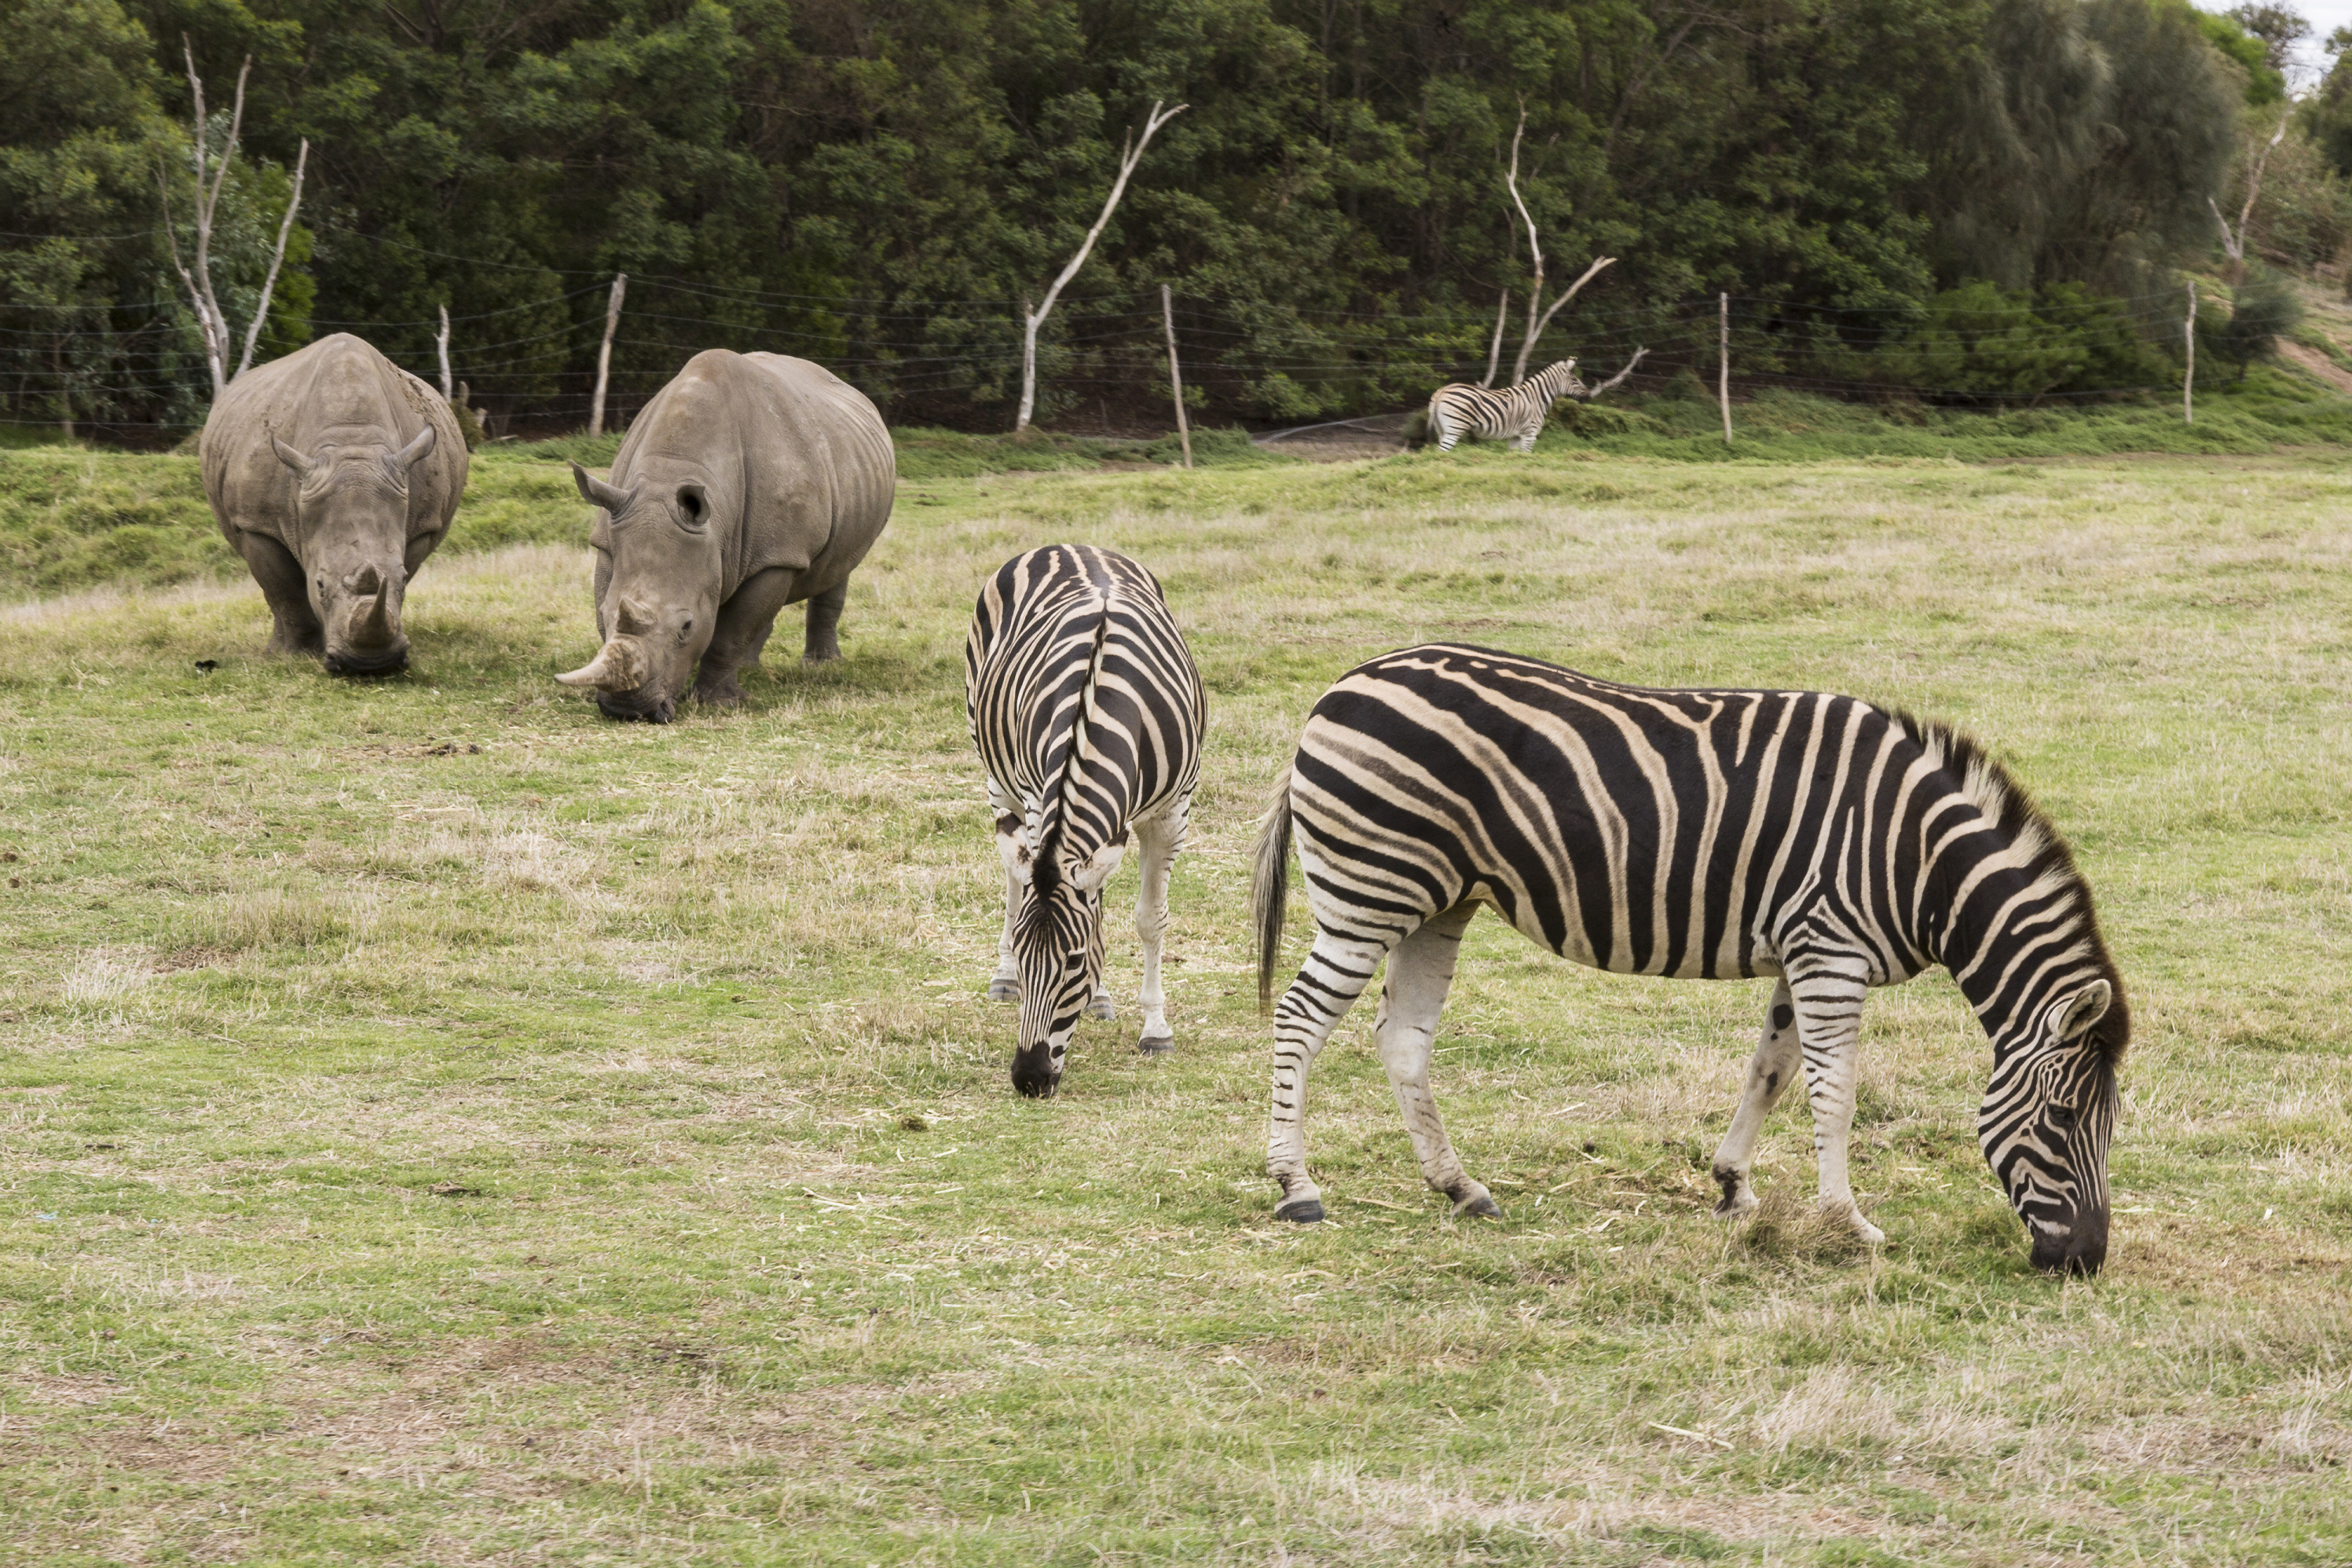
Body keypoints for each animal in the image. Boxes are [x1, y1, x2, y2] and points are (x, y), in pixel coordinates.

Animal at [964, 545, 1203, 1100]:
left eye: (1074, 962)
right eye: (1027, 958)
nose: (1029, 1079)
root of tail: (1066, 546)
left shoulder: (1171, 813)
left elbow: (1149, 918)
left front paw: (1156, 1029)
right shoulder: (1037, 799)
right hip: (996, 774)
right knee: (1013, 875)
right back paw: (1002, 978)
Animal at [1251, 648, 2135, 1278]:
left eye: (2111, 1121)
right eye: (2063, 1118)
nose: (2086, 1262)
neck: (1919, 861)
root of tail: (1342, 684)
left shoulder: (1799, 953)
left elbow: (1770, 1075)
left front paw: (1733, 1187)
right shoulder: (1829, 950)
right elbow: (1835, 1095)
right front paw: (1848, 1223)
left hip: (1436, 904)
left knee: (1402, 1038)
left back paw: (1461, 1187)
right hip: (1369, 890)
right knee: (1299, 1016)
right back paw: (1297, 1187)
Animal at [1420, 359, 1589, 451]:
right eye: (1574, 380)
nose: (1588, 396)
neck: (1536, 398)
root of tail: (1442, 390)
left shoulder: (1515, 437)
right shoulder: (1530, 434)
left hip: (1442, 429)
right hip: (1454, 428)